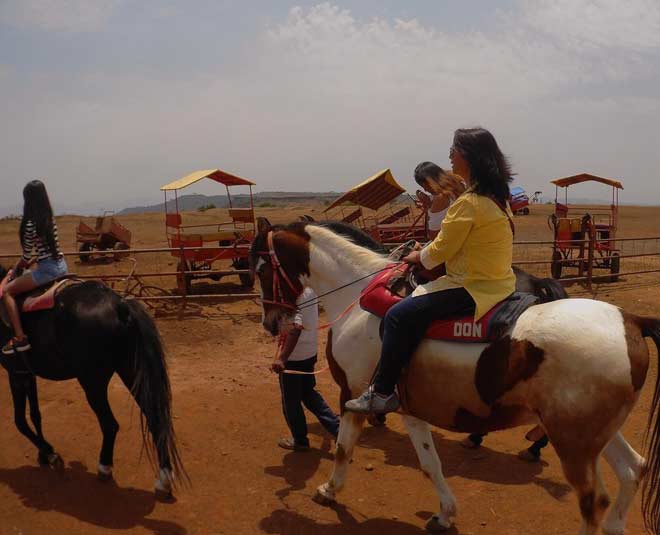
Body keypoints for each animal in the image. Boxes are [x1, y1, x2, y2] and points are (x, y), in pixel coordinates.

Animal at [0, 264, 186, 497]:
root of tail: (120, 304)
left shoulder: (15, 373)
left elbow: (20, 421)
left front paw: (51, 455)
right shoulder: (27, 373)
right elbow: (35, 415)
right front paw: (44, 453)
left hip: (92, 383)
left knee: (110, 424)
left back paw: (104, 467)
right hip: (131, 372)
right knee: (155, 419)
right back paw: (164, 479)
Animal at [250, 220, 660, 535]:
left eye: (260, 269)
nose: (271, 322)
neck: (359, 295)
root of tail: (631, 322)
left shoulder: (352, 392)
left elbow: (343, 448)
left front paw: (328, 490)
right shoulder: (407, 406)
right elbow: (430, 463)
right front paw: (444, 514)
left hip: (574, 443)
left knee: (594, 501)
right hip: (593, 433)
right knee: (633, 470)